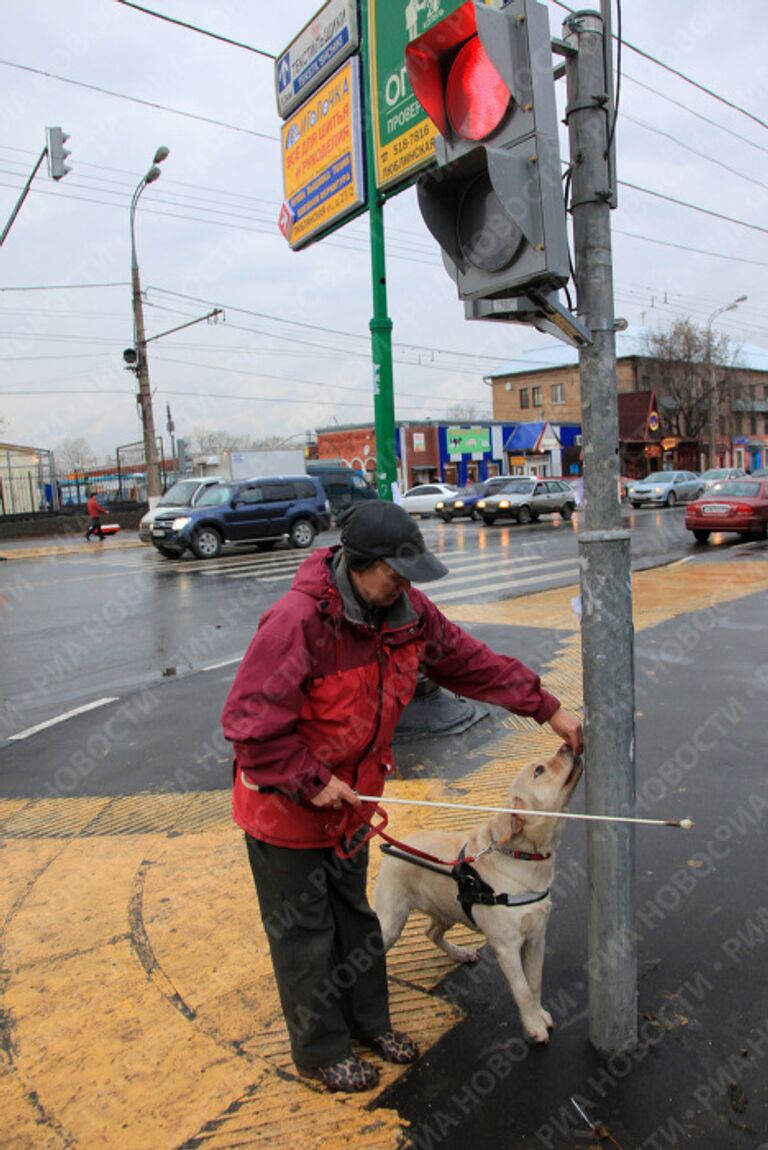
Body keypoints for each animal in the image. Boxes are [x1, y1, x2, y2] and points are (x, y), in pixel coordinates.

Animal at [372, 745, 581, 1044]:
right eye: (539, 770)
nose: (567, 746)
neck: (524, 857)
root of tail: (394, 845)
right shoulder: (506, 947)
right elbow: (522, 990)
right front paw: (533, 1025)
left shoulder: (536, 937)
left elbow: (535, 983)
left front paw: (539, 1014)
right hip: (391, 919)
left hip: (448, 910)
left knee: (430, 932)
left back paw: (459, 953)